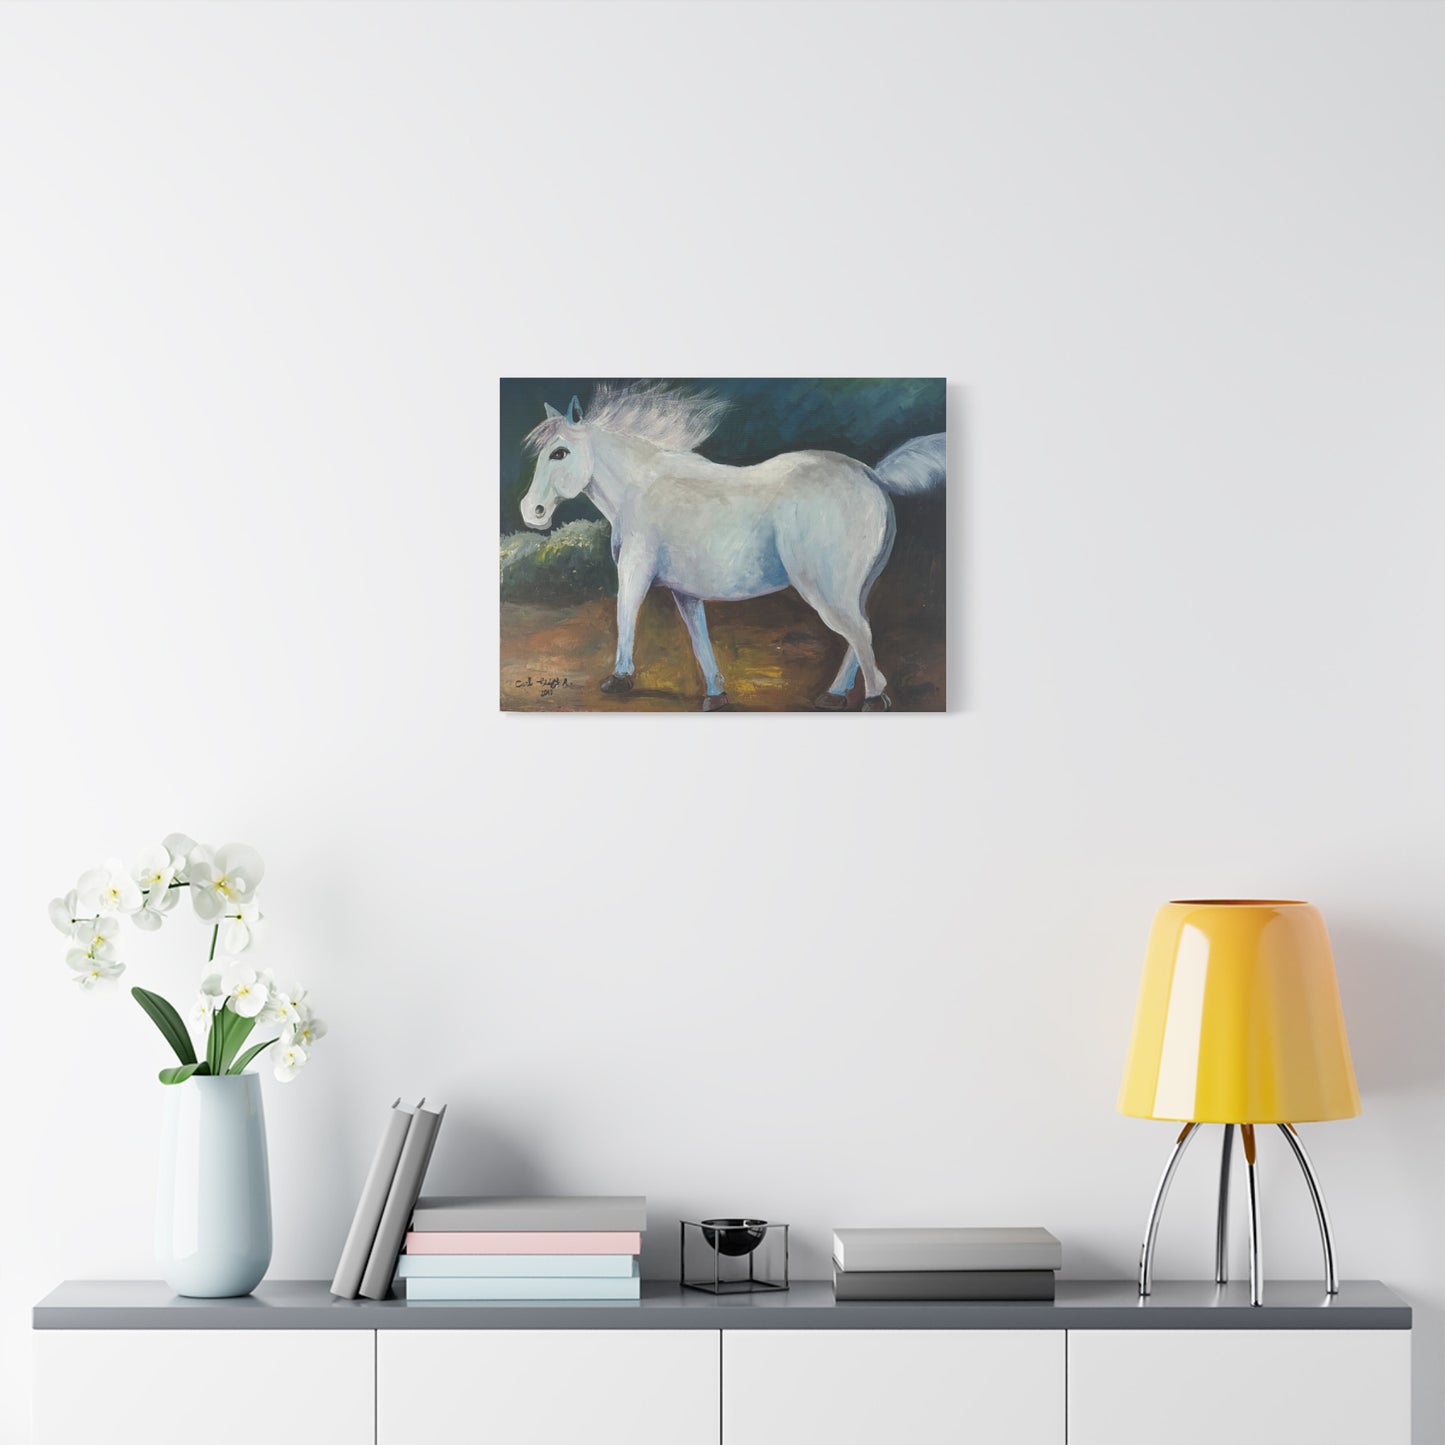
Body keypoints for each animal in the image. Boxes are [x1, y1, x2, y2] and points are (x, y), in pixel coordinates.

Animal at [519, 382, 945, 711]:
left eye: (560, 452)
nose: (531, 511)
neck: (640, 488)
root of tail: (872, 474)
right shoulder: (685, 591)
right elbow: (699, 638)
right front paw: (716, 694)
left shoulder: (635, 571)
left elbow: (626, 614)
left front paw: (619, 679)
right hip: (855, 586)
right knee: (860, 634)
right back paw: (835, 695)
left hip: (825, 588)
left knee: (859, 633)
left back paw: (872, 699)